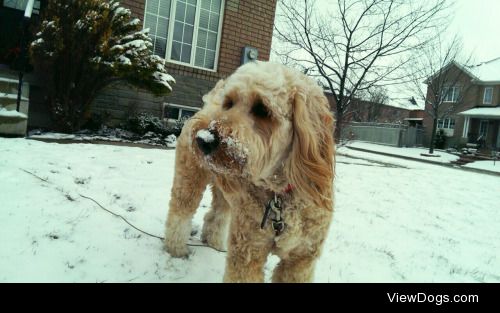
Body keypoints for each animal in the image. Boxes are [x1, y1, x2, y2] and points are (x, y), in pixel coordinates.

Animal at [165, 59, 336, 282]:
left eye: (262, 109)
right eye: (229, 103)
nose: (203, 140)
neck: (279, 196)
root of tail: (206, 107)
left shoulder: (300, 259)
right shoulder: (248, 251)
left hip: (226, 195)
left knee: (216, 215)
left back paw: (214, 243)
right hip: (189, 179)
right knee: (180, 213)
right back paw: (175, 248)